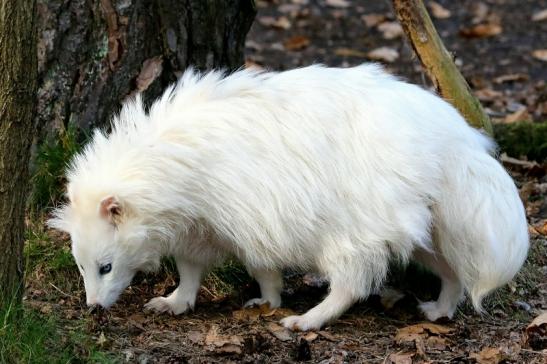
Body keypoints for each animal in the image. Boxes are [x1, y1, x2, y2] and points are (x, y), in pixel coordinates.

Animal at [50, 64, 532, 332]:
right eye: (81, 266)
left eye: (106, 266)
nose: (93, 308)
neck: (168, 157)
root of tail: (454, 140)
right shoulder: (201, 222)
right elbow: (192, 265)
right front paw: (179, 300)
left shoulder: (246, 212)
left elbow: (258, 262)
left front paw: (272, 300)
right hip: (422, 226)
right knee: (452, 269)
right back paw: (443, 307)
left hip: (358, 225)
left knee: (353, 282)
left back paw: (311, 318)